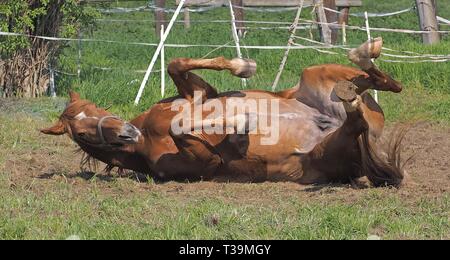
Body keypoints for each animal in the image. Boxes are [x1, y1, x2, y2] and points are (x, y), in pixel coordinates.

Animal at [43, 37, 404, 187]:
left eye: (94, 108)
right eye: (83, 132)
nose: (125, 132)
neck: (145, 136)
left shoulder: (200, 95)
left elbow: (177, 65)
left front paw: (243, 67)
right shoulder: (205, 162)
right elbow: (180, 127)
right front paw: (242, 122)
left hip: (315, 73)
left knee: (386, 83)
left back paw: (365, 52)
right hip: (332, 150)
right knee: (356, 119)